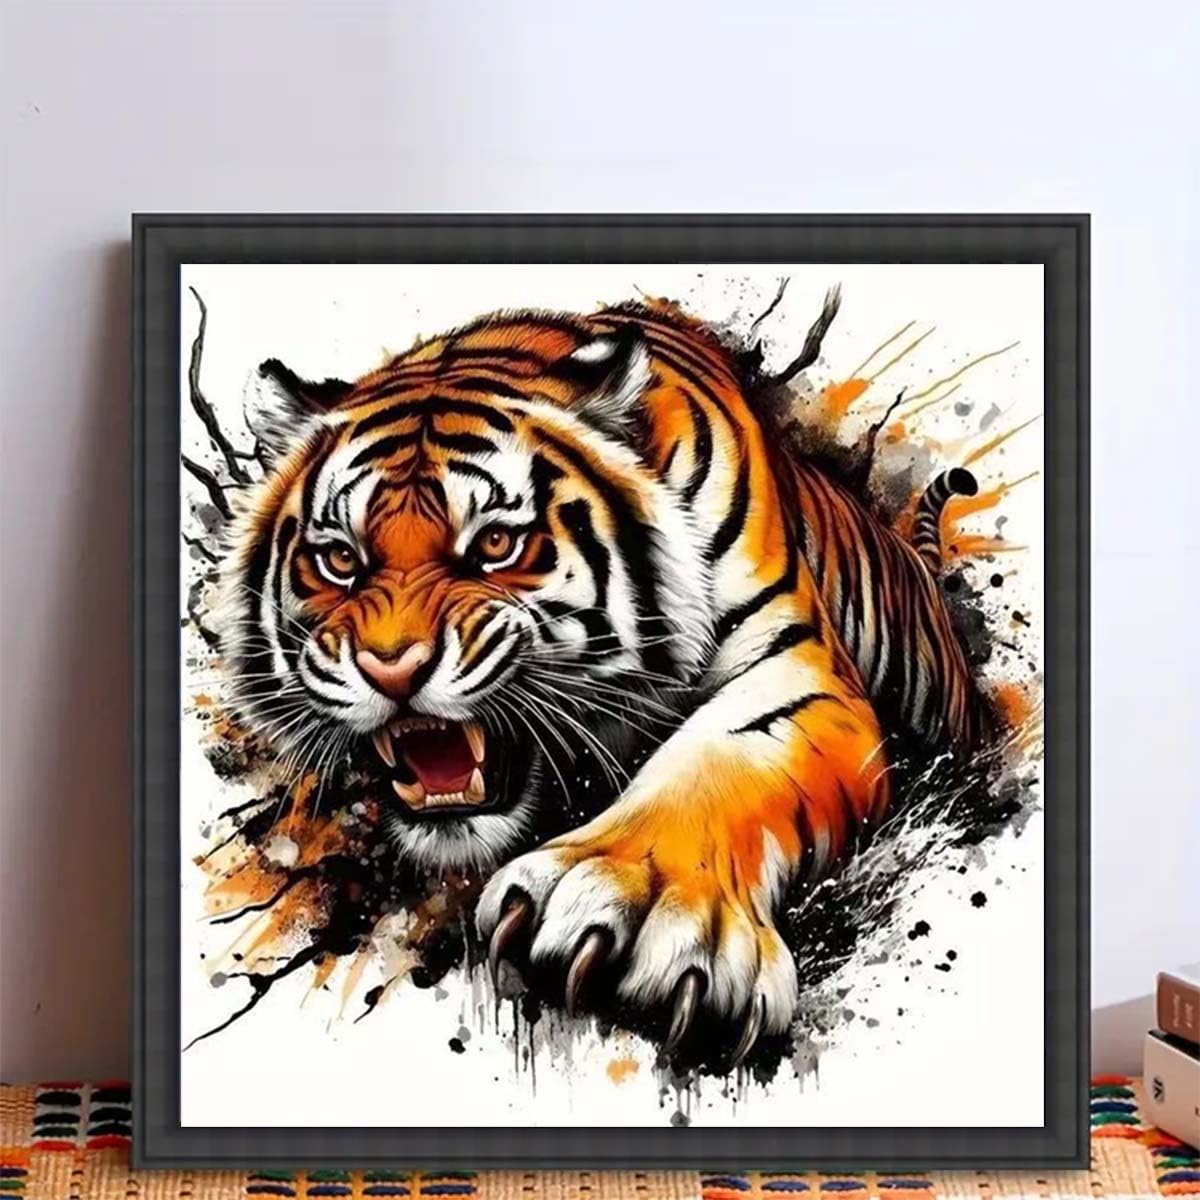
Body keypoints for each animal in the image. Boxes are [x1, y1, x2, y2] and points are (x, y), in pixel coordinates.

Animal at [215, 298, 985, 1063]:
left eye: (496, 544)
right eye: (340, 558)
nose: (391, 666)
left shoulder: (796, 667)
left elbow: (720, 760)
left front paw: (637, 902)